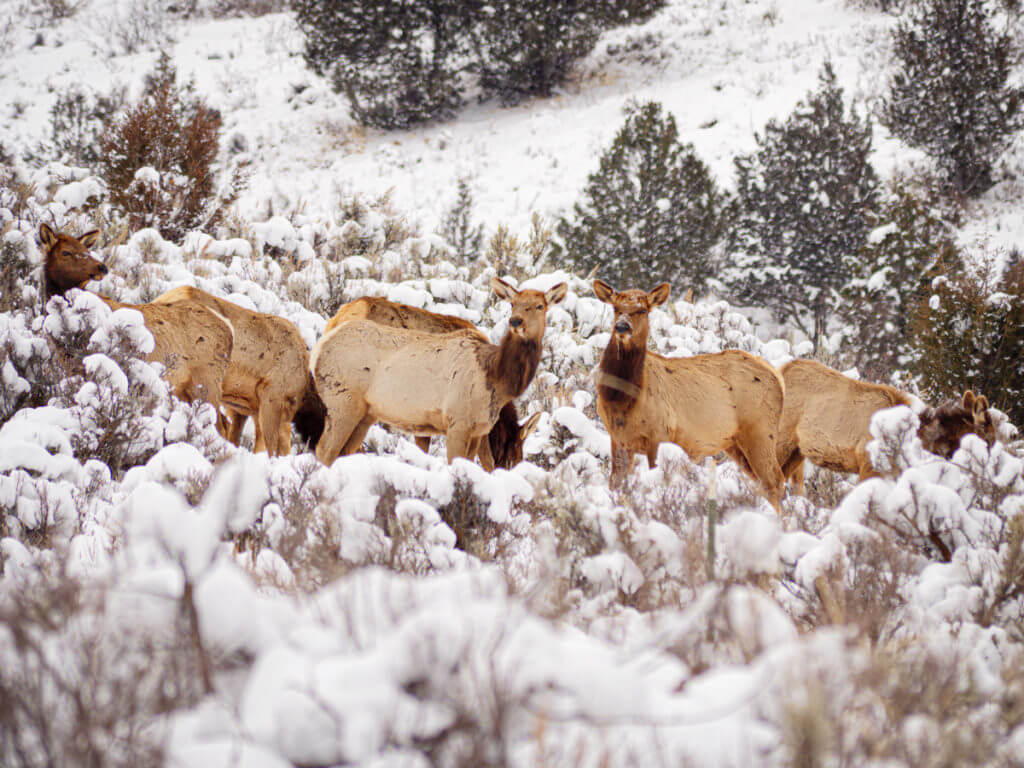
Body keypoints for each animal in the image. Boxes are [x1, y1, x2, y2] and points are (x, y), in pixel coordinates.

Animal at [311, 277, 566, 467]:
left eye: (540, 305)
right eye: (512, 303)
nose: (516, 321)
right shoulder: (461, 425)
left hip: (366, 413)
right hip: (344, 403)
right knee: (325, 449)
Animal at [592, 279, 786, 511]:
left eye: (643, 310)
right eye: (615, 308)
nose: (622, 327)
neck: (621, 400)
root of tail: (777, 377)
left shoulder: (660, 433)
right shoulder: (618, 438)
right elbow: (616, 483)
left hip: (761, 431)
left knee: (776, 480)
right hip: (735, 443)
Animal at [776, 359, 998, 494]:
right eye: (988, 438)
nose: (990, 475)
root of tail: (781, 369)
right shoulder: (868, 462)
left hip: (797, 451)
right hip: (781, 439)